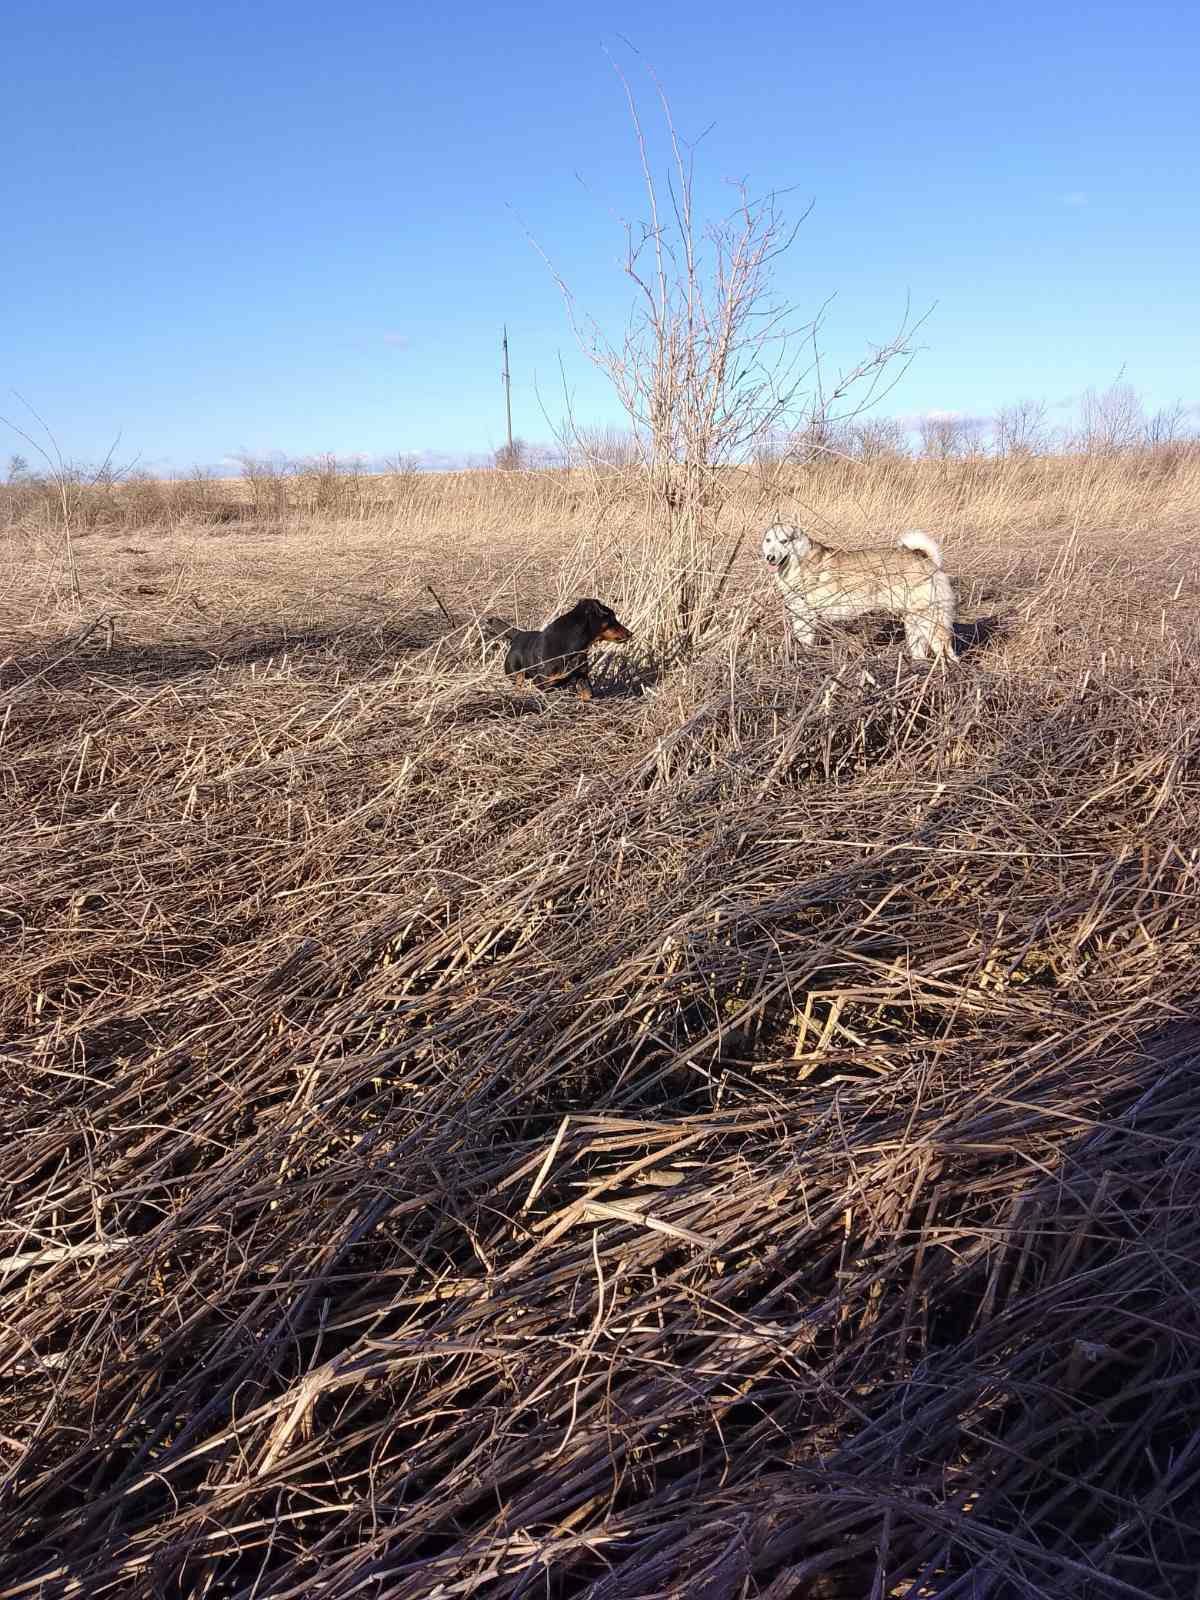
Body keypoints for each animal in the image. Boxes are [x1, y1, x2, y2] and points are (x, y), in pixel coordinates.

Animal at [502, 601, 633, 700]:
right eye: (612, 619)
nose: (630, 633)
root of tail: (518, 634)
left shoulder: (582, 676)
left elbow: (587, 694)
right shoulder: (543, 682)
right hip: (515, 674)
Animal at [764, 524, 966, 662]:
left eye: (784, 541)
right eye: (768, 540)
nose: (769, 557)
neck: (800, 559)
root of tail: (926, 559)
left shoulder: (806, 615)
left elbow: (805, 638)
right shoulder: (799, 613)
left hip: (931, 621)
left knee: (947, 651)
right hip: (914, 622)